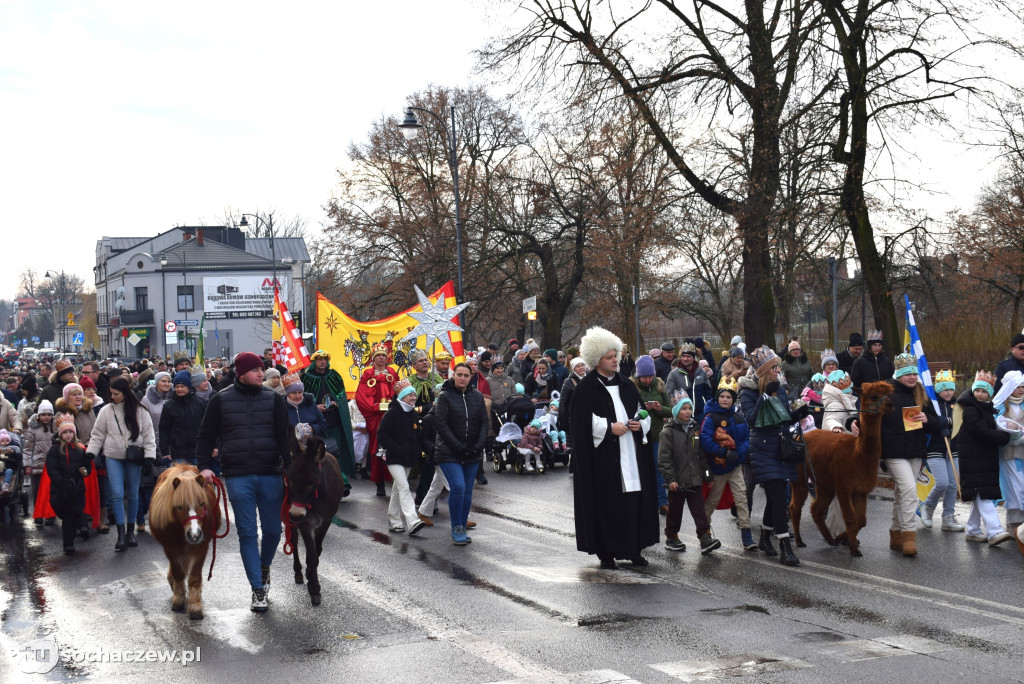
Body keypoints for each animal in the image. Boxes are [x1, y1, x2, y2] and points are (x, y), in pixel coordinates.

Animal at [147, 464, 219, 618]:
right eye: (179, 506)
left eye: (202, 503)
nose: (194, 534)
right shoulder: (171, 547)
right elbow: (178, 573)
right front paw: (179, 599)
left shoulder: (201, 547)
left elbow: (194, 578)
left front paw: (195, 606)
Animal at [786, 378, 892, 557]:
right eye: (874, 396)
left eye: (889, 394)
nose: (891, 405)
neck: (858, 454)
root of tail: (800, 436)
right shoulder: (844, 487)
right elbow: (851, 519)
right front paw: (854, 549)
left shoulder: (860, 491)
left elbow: (861, 521)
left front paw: (845, 539)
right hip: (801, 478)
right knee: (795, 507)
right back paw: (800, 541)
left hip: (824, 483)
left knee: (816, 509)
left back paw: (830, 539)